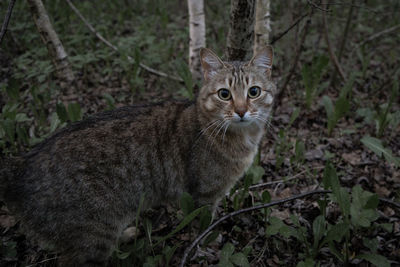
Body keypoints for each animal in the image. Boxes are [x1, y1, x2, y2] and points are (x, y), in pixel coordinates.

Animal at [0, 47, 276, 266]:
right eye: (224, 94)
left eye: (253, 92)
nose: (241, 111)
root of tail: (21, 165)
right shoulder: (205, 195)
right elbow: (203, 226)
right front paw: (207, 244)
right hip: (92, 235)